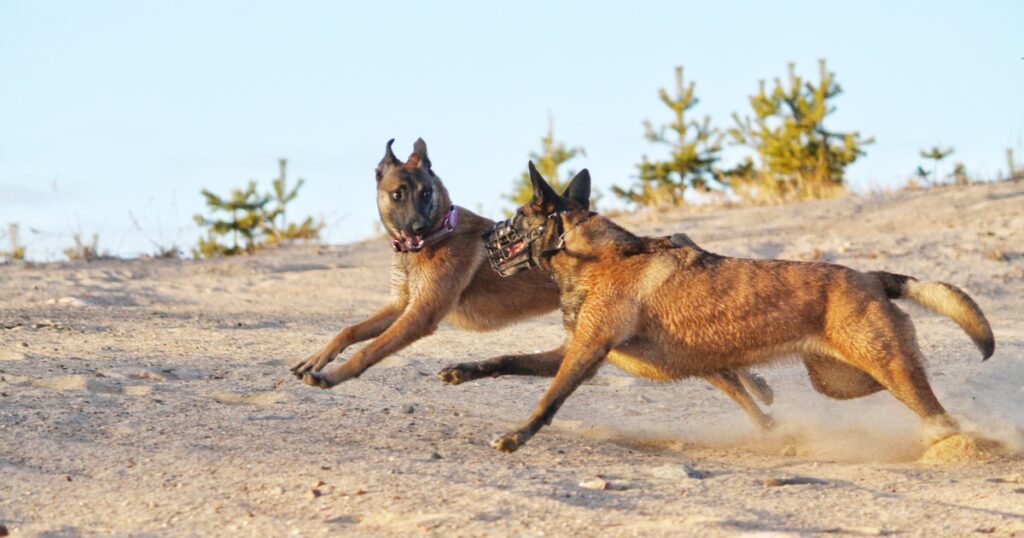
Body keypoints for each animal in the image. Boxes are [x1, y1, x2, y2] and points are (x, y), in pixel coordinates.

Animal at [294, 139, 774, 432]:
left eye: (426, 193)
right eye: (398, 194)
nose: (414, 228)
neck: (434, 238)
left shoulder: (420, 316)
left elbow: (370, 351)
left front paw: (332, 377)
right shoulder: (400, 306)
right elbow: (349, 331)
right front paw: (316, 359)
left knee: (729, 376)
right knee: (728, 372)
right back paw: (763, 393)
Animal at [475, 161, 995, 450]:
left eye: (516, 217)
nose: (483, 236)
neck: (591, 255)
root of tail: (873, 278)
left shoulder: (586, 353)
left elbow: (548, 399)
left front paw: (516, 437)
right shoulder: (575, 351)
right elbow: (507, 359)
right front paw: (464, 371)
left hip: (886, 368)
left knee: (938, 412)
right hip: (842, 381)